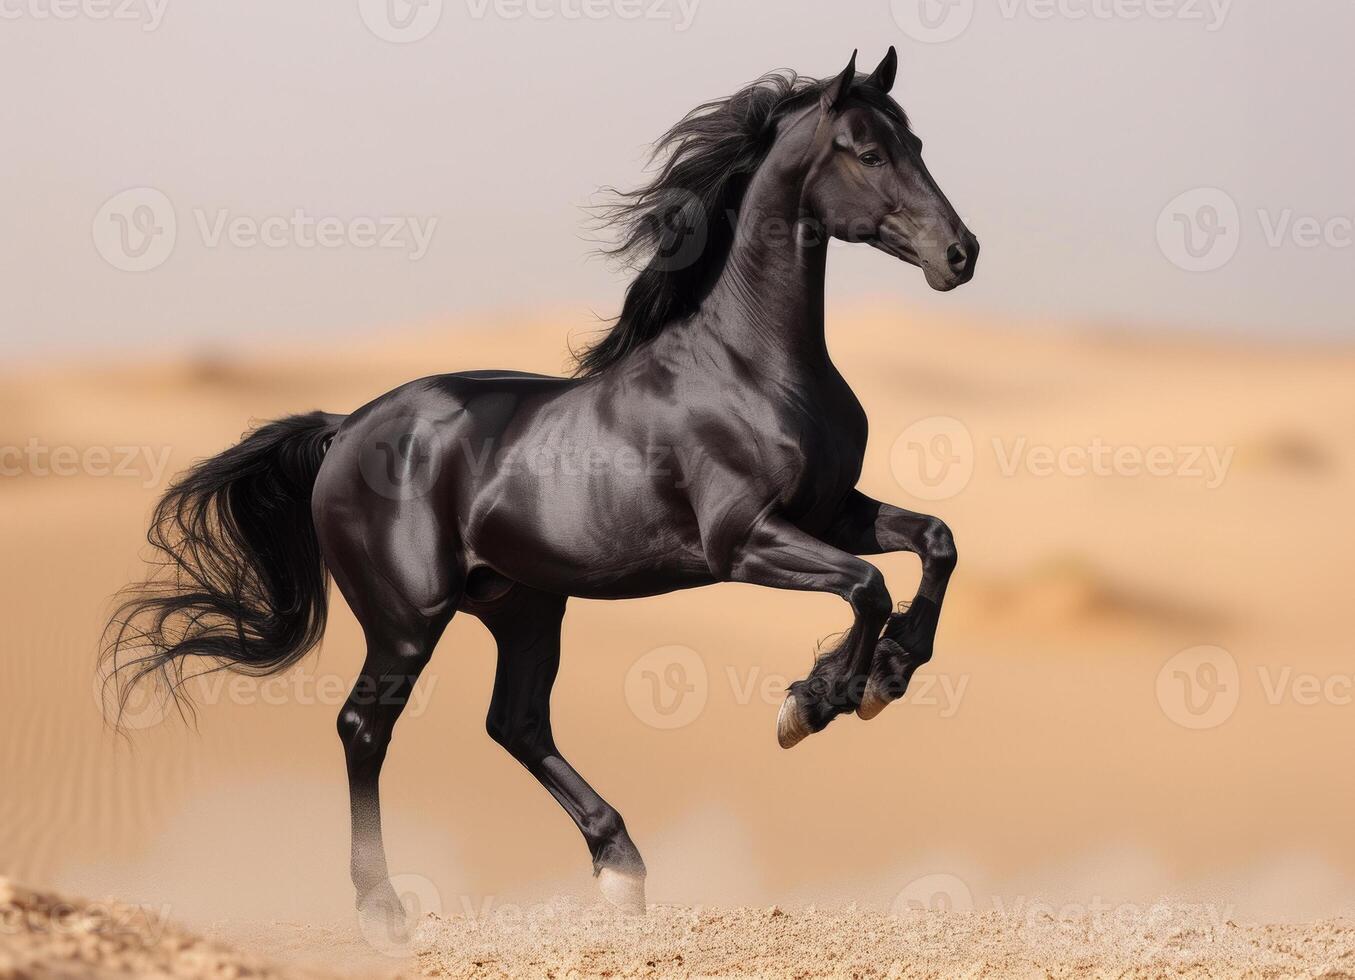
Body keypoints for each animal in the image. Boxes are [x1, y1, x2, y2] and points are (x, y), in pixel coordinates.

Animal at [102, 49, 975, 927]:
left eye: (918, 144)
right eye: (868, 153)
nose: (960, 254)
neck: (752, 366)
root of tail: (346, 428)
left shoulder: (830, 511)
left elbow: (934, 543)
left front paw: (888, 673)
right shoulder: (744, 540)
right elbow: (865, 587)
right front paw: (815, 701)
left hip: (523, 605)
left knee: (515, 723)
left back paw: (619, 865)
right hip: (407, 620)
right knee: (364, 727)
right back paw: (384, 908)